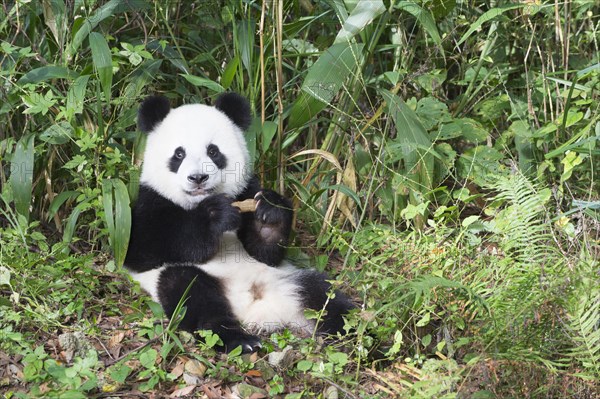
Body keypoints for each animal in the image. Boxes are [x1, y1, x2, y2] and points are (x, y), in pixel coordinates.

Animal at [124, 93, 354, 354]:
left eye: (213, 151)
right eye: (179, 154)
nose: (198, 178)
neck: (198, 202)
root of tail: (254, 306)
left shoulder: (247, 189)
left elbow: (265, 251)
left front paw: (270, 211)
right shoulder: (147, 204)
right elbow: (144, 249)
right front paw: (215, 216)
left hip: (287, 277)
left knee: (324, 295)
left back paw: (354, 334)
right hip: (188, 281)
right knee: (189, 292)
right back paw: (239, 339)